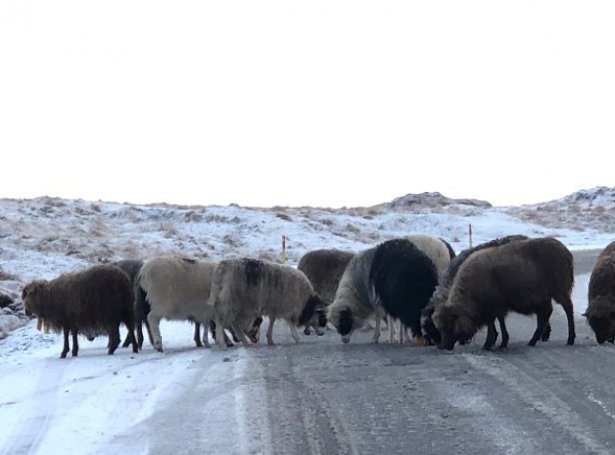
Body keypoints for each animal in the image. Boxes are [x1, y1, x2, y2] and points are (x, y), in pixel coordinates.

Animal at [434, 237, 576, 350]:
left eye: (450, 325)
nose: (443, 346)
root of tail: (566, 251)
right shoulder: (494, 307)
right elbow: (497, 322)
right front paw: (498, 342)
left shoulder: (494, 306)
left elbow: (495, 323)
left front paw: (492, 343)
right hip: (544, 296)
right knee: (546, 314)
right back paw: (533, 340)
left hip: (560, 289)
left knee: (568, 308)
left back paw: (570, 338)